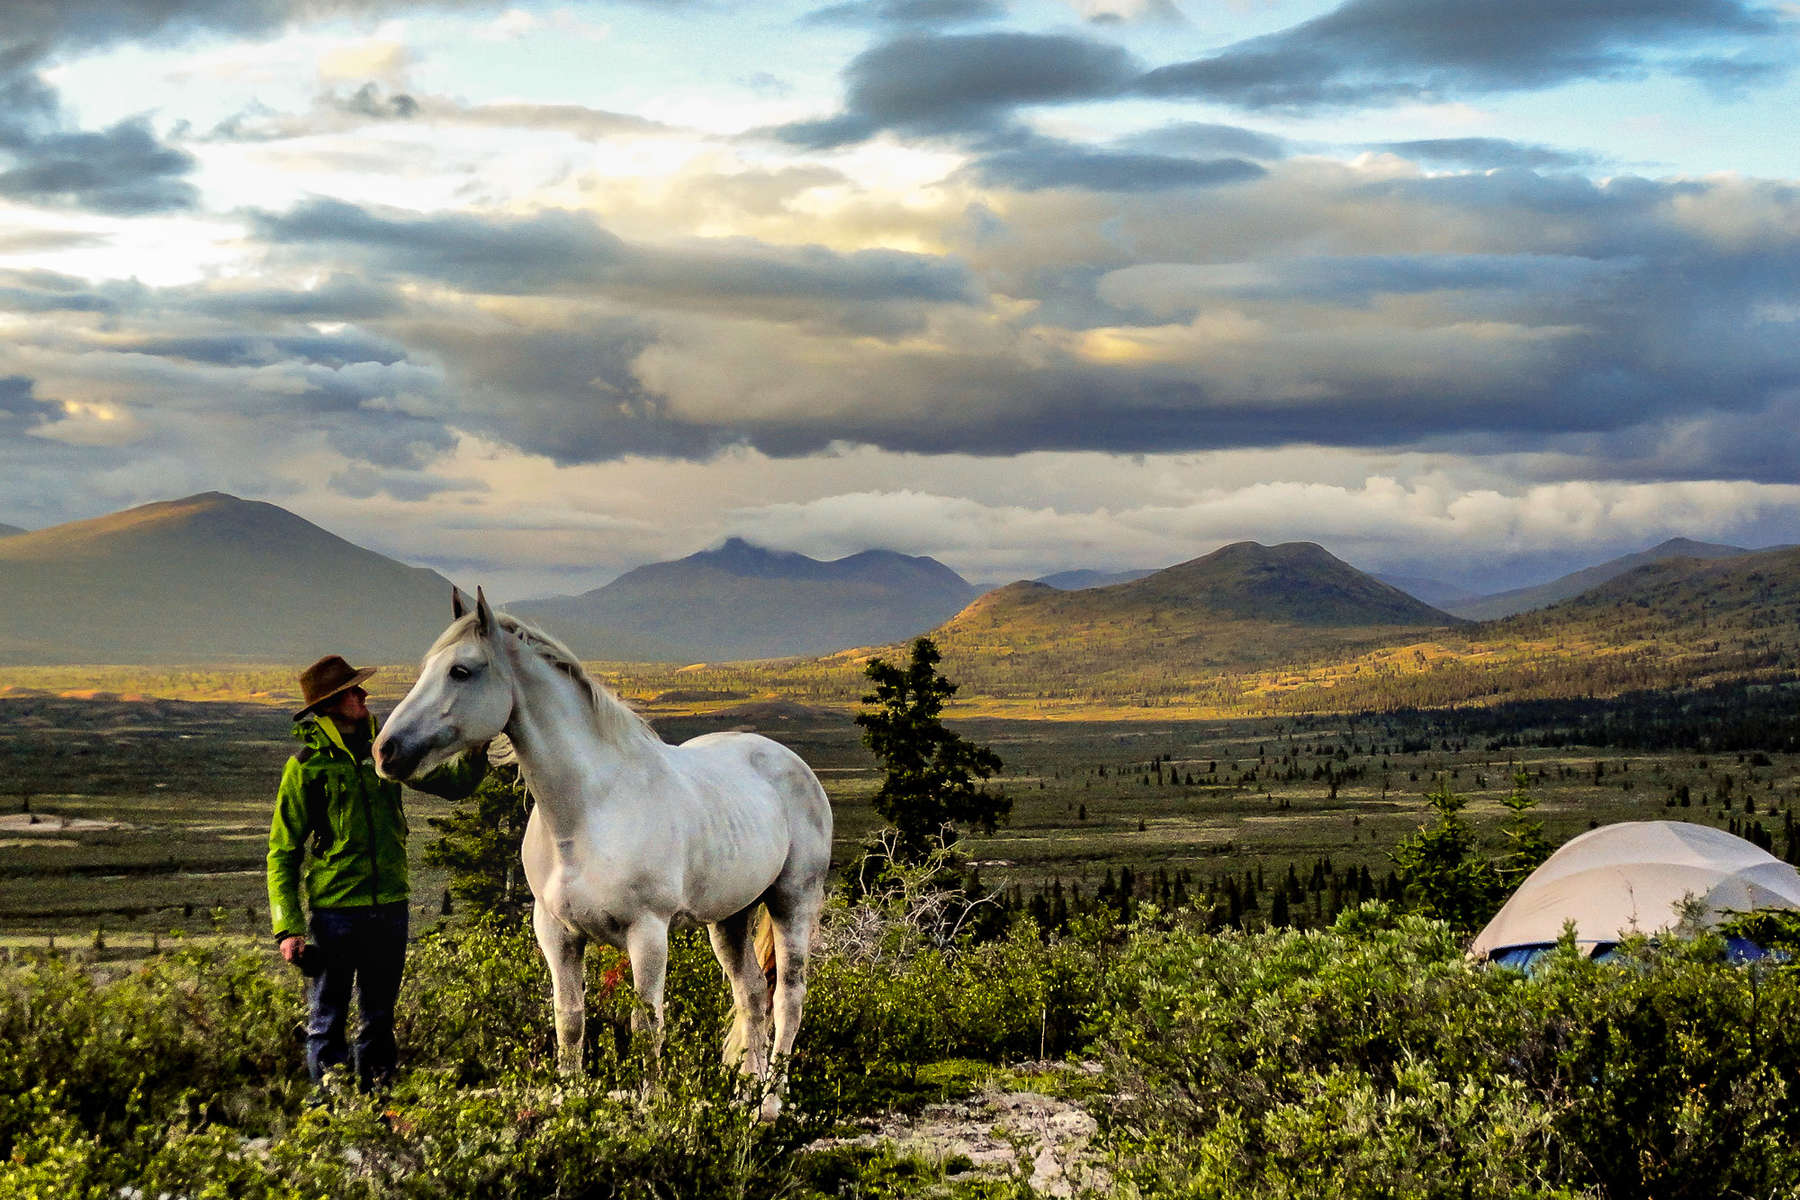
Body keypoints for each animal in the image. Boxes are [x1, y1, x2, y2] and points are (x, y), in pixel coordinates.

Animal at [376, 590, 838, 1108]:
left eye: (461, 670)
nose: (385, 751)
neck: (588, 812)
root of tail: (788, 761)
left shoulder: (648, 932)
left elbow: (645, 1024)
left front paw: (652, 1107)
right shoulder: (556, 933)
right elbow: (570, 1021)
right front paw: (571, 1102)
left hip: (792, 900)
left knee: (788, 996)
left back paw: (771, 1103)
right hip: (730, 918)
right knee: (752, 994)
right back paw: (746, 1097)